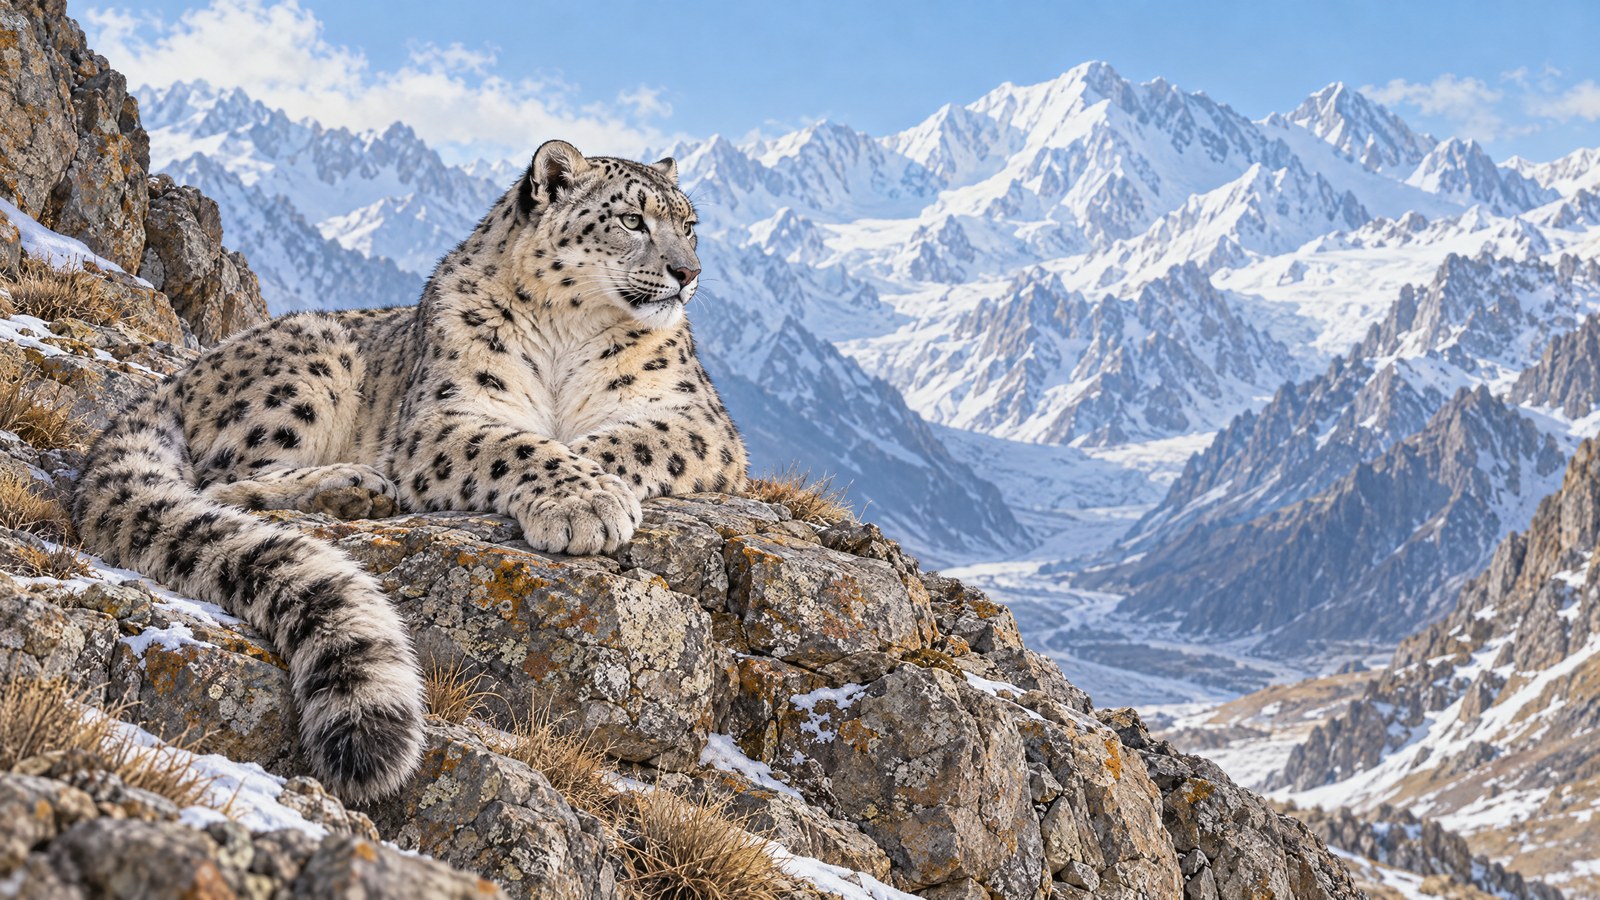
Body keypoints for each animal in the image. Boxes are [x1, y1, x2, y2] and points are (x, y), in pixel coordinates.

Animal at [73, 140, 748, 802]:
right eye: (632, 220)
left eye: (691, 226)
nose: (689, 273)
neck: (568, 334)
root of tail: (177, 377)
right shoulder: (442, 417)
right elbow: (520, 444)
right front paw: (585, 502)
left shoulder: (698, 418)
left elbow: (631, 438)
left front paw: (594, 487)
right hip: (309, 366)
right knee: (223, 483)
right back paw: (355, 487)